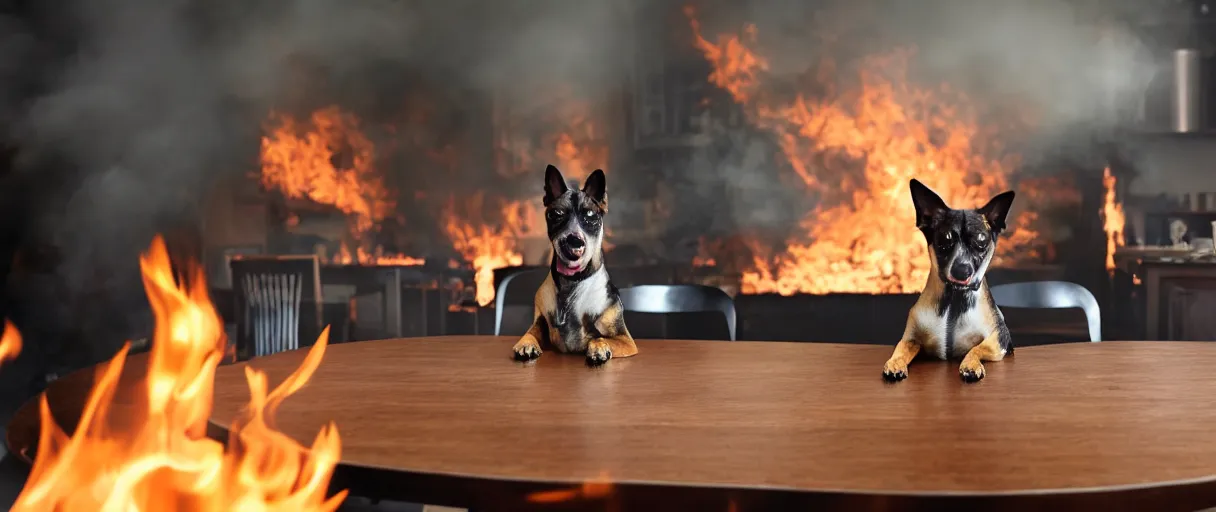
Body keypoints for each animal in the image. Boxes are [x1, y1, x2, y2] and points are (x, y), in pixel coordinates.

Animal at [510, 164, 642, 362]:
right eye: (556, 214)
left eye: (590, 215)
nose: (574, 241)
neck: (571, 283)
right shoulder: (540, 321)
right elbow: (532, 331)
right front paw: (526, 343)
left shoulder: (625, 340)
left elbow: (599, 337)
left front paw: (599, 346)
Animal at [885, 179, 1016, 384]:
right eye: (944, 239)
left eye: (981, 240)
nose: (962, 270)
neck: (954, 297)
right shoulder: (911, 338)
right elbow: (901, 348)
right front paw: (895, 363)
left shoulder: (1000, 338)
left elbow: (978, 347)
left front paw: (970, 365)